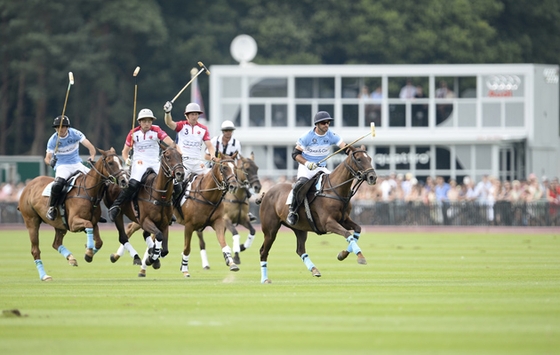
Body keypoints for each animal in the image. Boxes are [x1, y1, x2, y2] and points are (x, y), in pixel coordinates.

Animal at [17, 147, 129, 280]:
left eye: (121, 161)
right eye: (111, 163)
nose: (124, 180)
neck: (89, 192)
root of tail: (27, 186)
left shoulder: (94, 222)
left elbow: (99, 241)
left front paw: (88, 254)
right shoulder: (73, 223)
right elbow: (88, 226)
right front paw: (88, 252)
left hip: (59, 225)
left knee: (56, 243)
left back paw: (71, 258)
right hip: (32, 222)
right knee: (35, 250)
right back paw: (44, 276)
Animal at [103, 143, 184, 276]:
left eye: (181, 156)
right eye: (167, 156)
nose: (180, 174)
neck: (159, 195)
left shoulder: (164, 223)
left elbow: (165, 250)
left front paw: (154, 256)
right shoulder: (146, 220)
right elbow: (159, 237)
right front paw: (151, 258)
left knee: (144, 234)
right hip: (120, 215)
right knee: (123, 236)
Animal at [256, 145, 378, 284]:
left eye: (370, 158)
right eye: (358, 159)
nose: (373, 177)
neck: (335, 190)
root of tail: (266, 193)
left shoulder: (344, 220)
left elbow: (357, 229)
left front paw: (342, 254)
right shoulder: (328, 223)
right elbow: (348, 234)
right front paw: (360, 257)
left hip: (299, 228)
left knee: (300, 249)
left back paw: (314, 270)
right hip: (270, 229)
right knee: (263, 251)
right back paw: (265, 279)